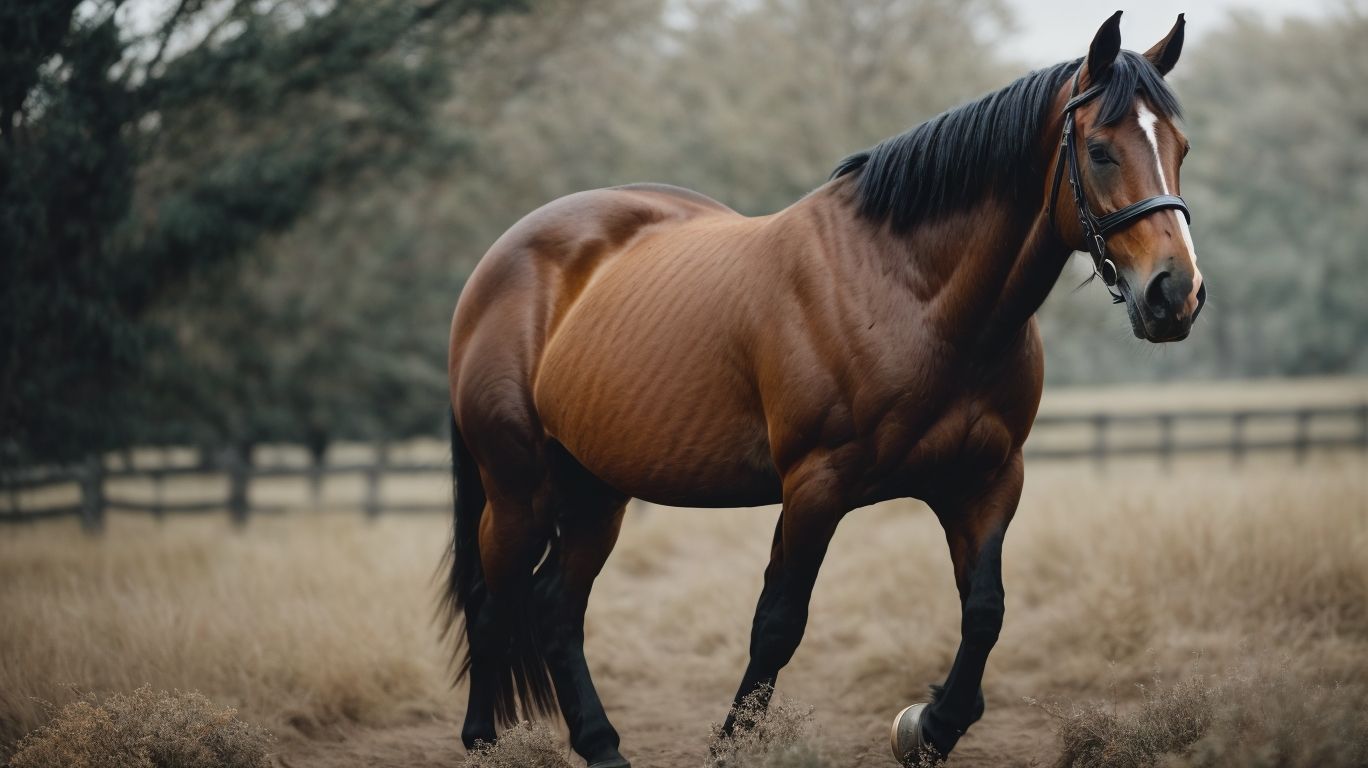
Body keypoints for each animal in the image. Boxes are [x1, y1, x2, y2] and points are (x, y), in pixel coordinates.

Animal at [442, 11, 1203, 766]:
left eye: (1181, 148)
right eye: (1100, 151)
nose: (1174, 293)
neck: (913, 296)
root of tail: (497, 263)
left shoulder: (987, 480)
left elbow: (985, 612)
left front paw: (930, 725)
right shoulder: (815, 485)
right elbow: (778, 624)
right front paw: (736, 746)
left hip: (596, 488)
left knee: (554, 606)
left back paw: (600, 745)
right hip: (519, 488)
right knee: (494, 599)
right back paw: (482, 738)